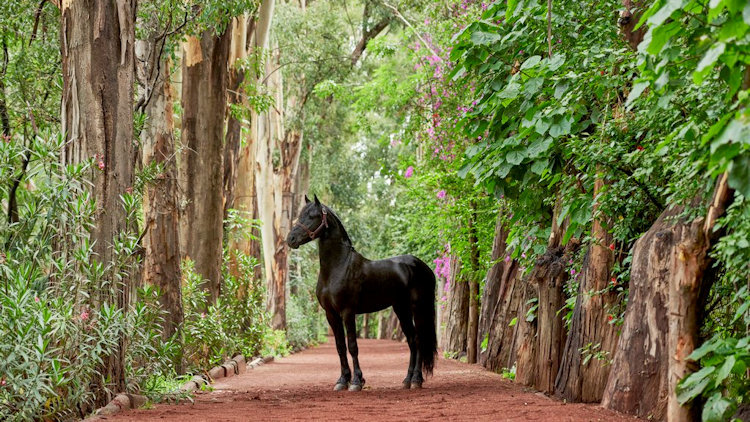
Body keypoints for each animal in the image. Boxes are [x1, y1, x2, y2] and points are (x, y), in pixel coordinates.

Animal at [288, 196, 440, 390]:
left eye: (312, 216)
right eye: (300, 214)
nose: (290, 239)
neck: (338, 267)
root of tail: (423, 267)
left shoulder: (347, 312)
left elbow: (352, 345)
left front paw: (356, 381)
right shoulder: (331, 314)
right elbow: (340, 346)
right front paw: (342, 381)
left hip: (418, 307)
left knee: (419, 340)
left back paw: (416, 380)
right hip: (401, 309)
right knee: (412, 340)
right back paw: (407, 380)